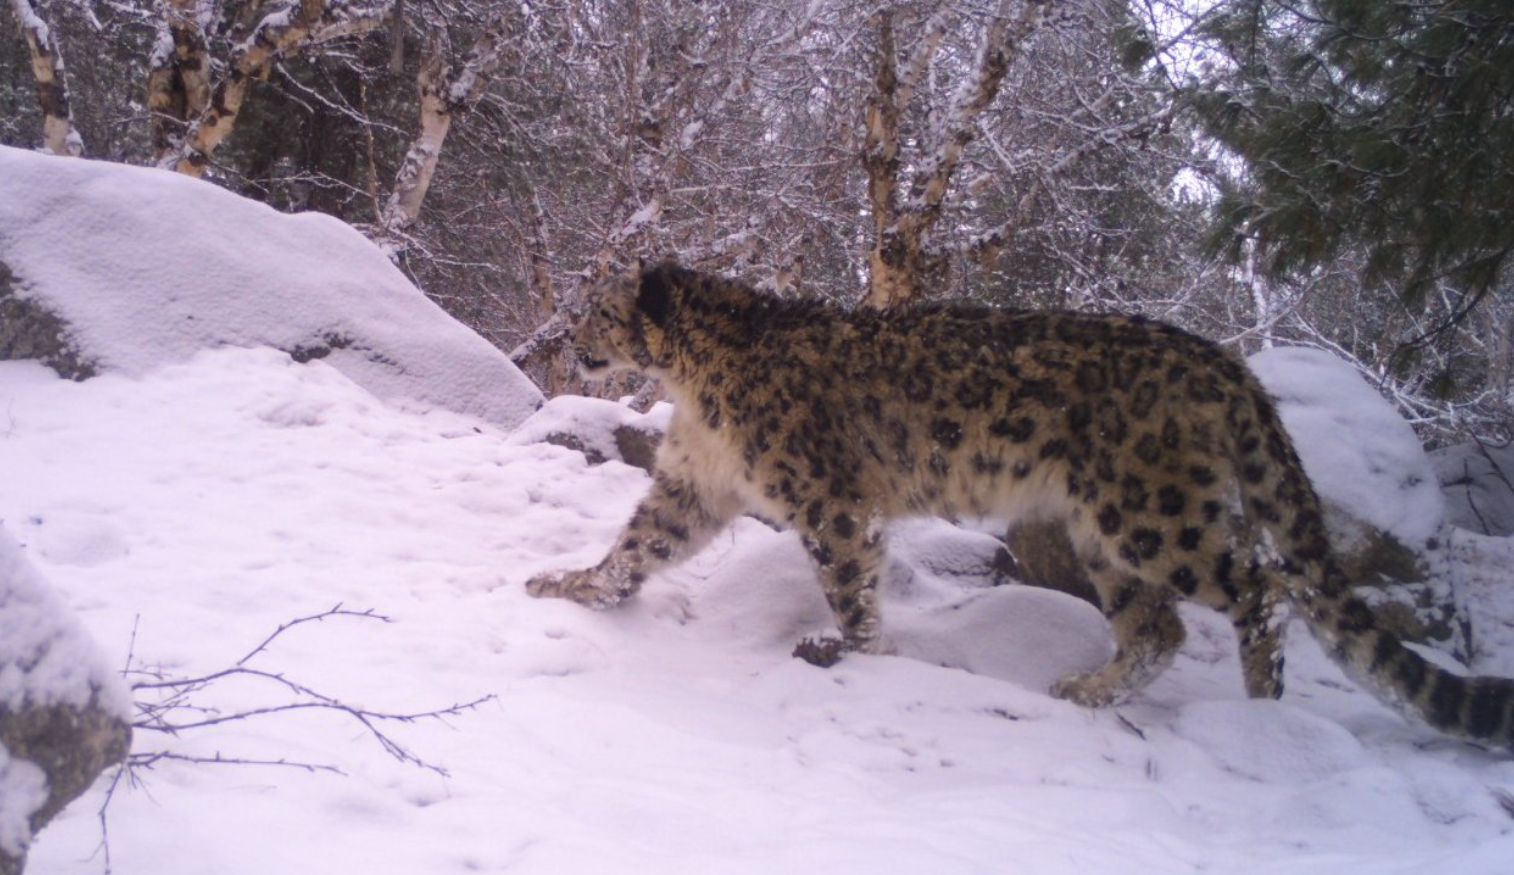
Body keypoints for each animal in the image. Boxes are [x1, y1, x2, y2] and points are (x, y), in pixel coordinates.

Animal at [523, 258, 1514, 750]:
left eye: (599, 308)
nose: (566, 335)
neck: (695, 383)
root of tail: (1223, 361)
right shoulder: (695, 482)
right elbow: (639, 543)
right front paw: (568, 585)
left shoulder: (829, 497)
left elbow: (849, 584)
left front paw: (858, 657)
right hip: (1105, 535)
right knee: (1158, 626)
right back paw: (1086, 690)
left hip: (1152, 513)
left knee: (1261, 585)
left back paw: (1260, 709)